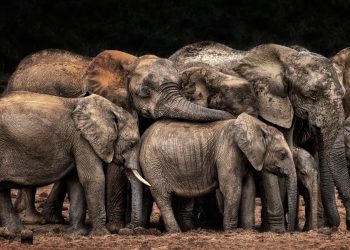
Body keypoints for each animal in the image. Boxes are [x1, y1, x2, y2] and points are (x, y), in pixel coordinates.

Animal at [0, 91, 144, 235]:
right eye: (132, 144)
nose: (130, 228)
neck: (112, 109)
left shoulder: (77, 141)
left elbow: (76, 181)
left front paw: (77, 233)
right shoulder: (82, 139)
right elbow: (92, 178)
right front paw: (103, 235)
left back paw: (15, 231)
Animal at [134, 113, 296, 232]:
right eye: (282, 154)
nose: (289, 231)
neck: (259, 126)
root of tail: (143, 135)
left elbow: (248, 188)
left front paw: (247, 230)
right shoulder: (229, 151)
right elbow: (232, 189)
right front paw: (230, 230)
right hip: (153, 163)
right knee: (163, 196)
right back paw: (176, 231)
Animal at [170, 41, 350, 230]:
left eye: (343, 94)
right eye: (313, 93)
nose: (341, 224)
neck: (288, 58)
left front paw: (275, 229)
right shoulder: (266, 103)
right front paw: (278, 230)